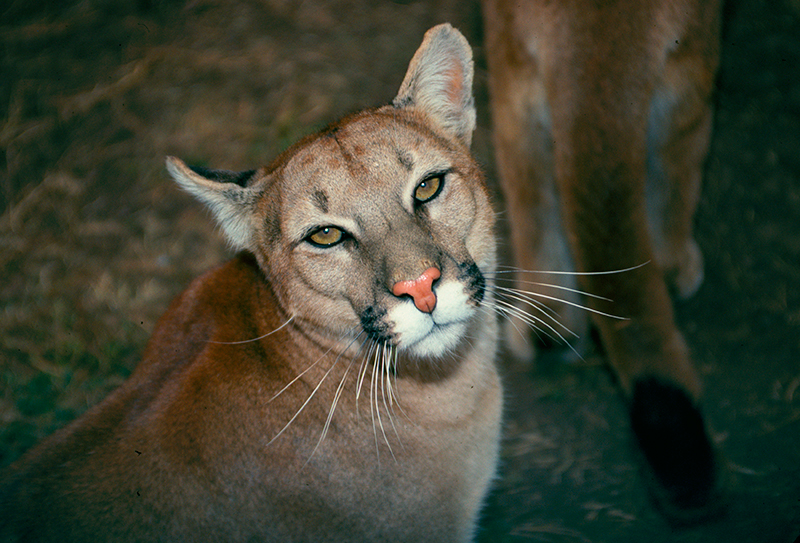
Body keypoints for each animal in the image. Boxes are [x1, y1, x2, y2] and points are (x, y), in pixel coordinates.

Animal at [482, 0, 724, 520]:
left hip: (514, 82)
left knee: (531, 194)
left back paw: (546, 329)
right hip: (692, 71)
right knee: (675, 167)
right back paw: (677, 267)